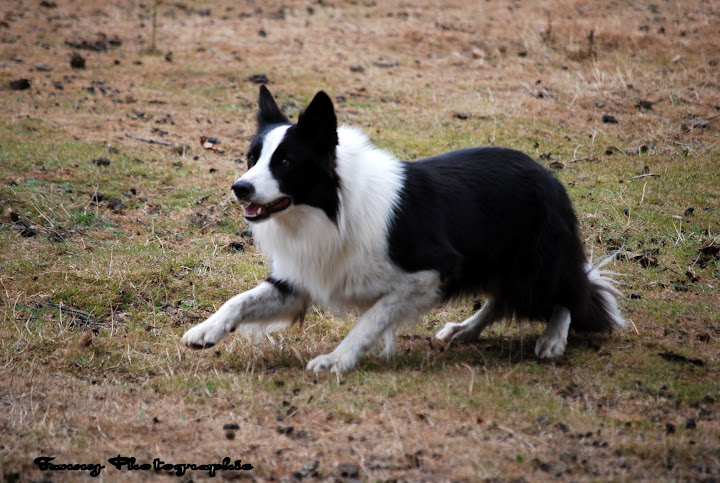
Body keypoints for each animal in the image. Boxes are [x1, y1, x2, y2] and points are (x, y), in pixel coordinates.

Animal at [180, 86, 624, 374]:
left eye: (286, 162)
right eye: (252, 158)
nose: (240, 187)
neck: (330, 207)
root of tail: (548, 176)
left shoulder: (431, 271)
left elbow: (370, 319)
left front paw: (337, 360)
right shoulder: (300, 278)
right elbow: (239, 300)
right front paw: (206, 330)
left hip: (532, 264)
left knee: (572, 291)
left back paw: (553, 337)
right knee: (502, 299)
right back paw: (464, 330)